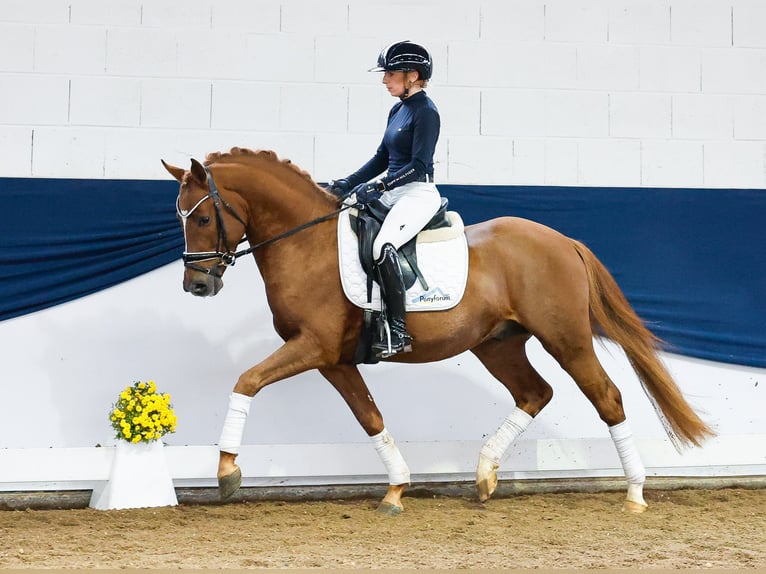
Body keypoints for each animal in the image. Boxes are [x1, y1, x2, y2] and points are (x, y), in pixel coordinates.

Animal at [164, 148, 712, 516]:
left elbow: (246, 381)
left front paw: (227, 472)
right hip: (498, 344)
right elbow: (370, 417)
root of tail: (563, 240)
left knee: (607, 397)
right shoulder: (333, 359)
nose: (196, 285)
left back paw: (635, 494)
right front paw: (395, 489)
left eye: (205, 216)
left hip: (567, 338)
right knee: (535, 393)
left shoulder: (312, 347)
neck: (306, 244)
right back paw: (485, 476)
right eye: (179, 217)